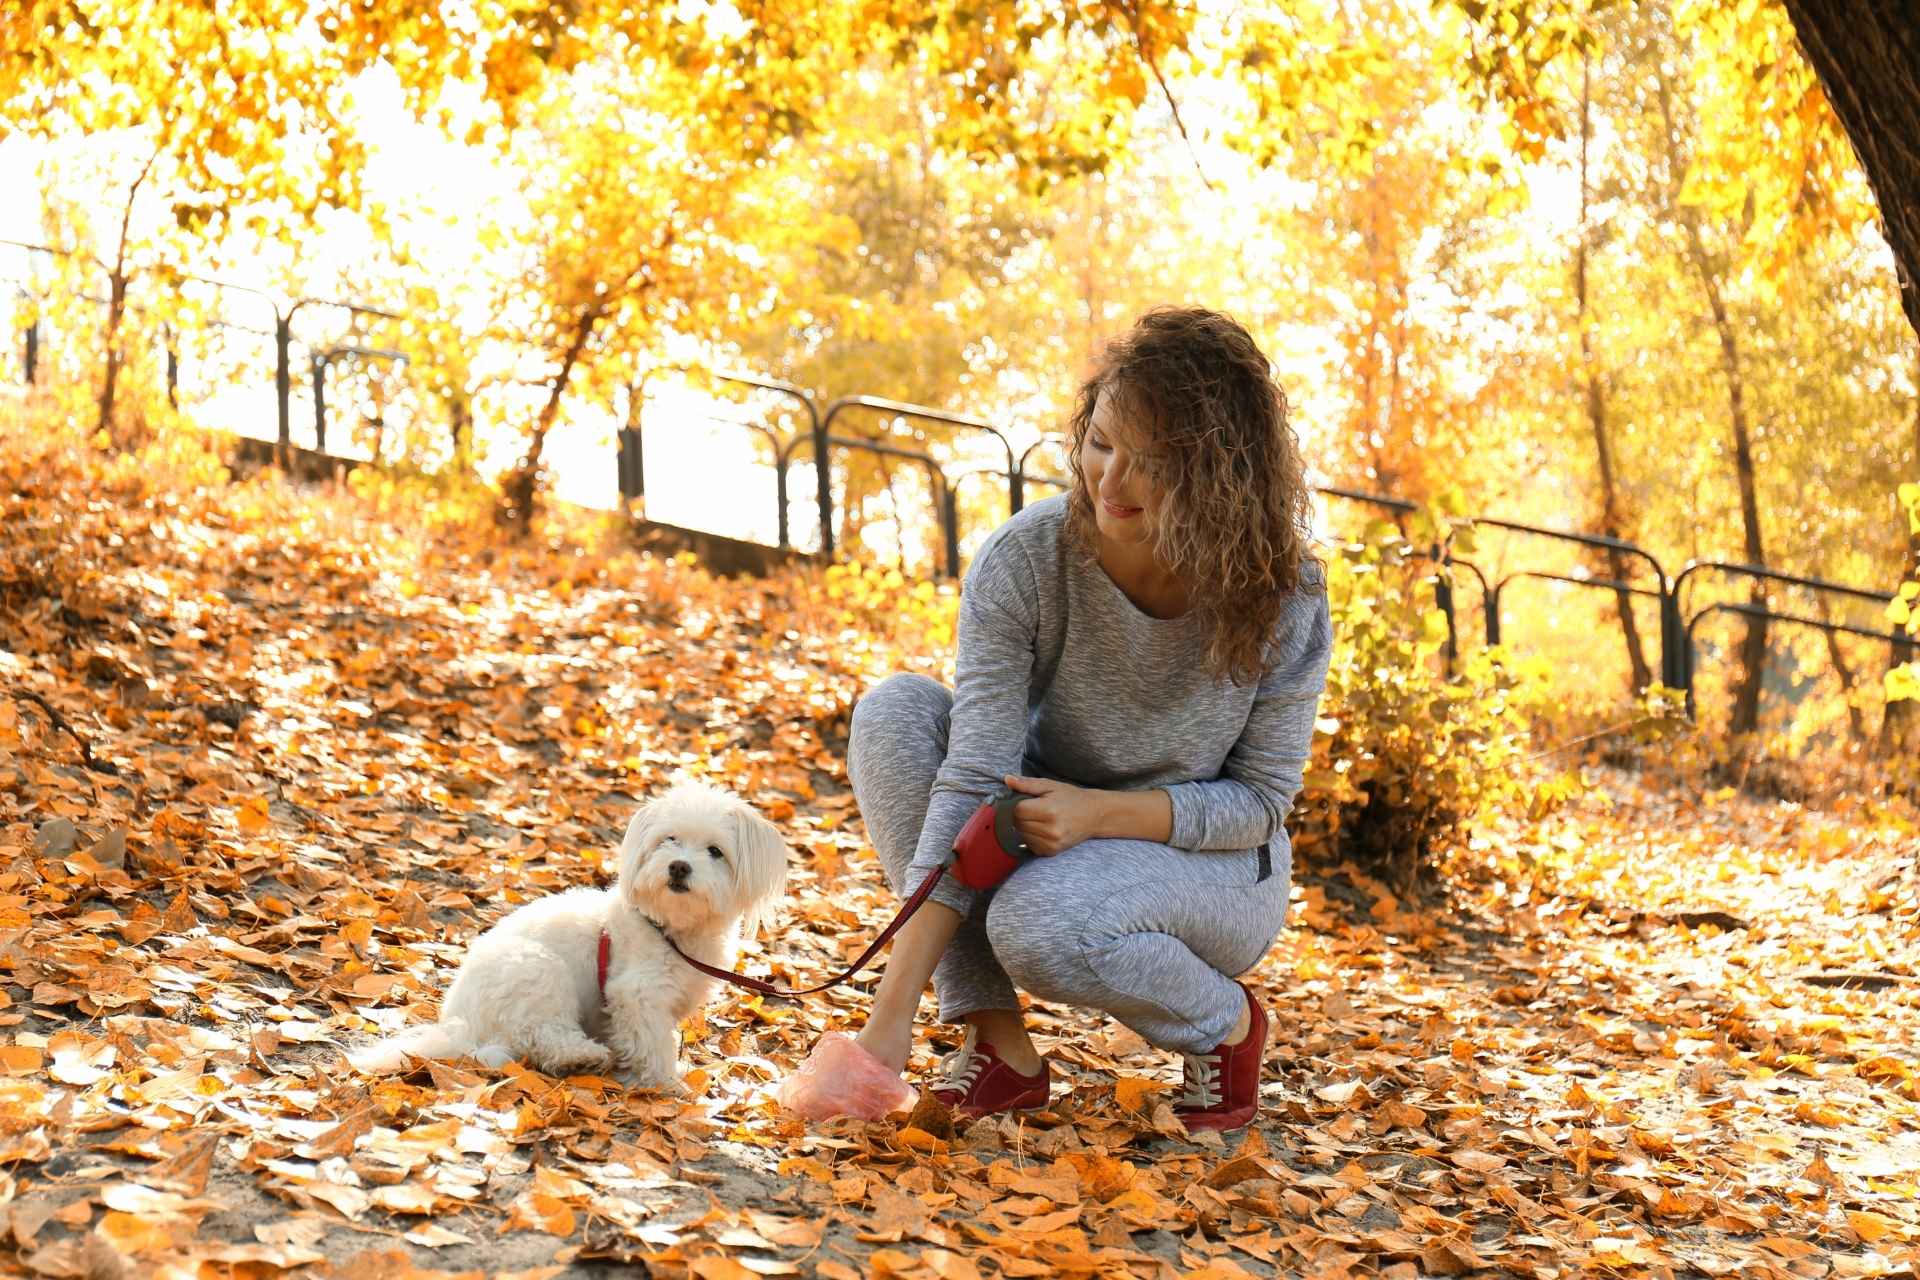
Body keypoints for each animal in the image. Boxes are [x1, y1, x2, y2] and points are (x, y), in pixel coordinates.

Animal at [347, 782, 787, 1090]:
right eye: (669, 839)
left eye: (715, 851)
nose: (678, 866)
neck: (671, 930)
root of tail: (461, 1023)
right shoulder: (637, 994)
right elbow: (653, 1043)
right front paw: (666, 1084)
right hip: (538, 971)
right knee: (542, 1035)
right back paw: (582, 1056)